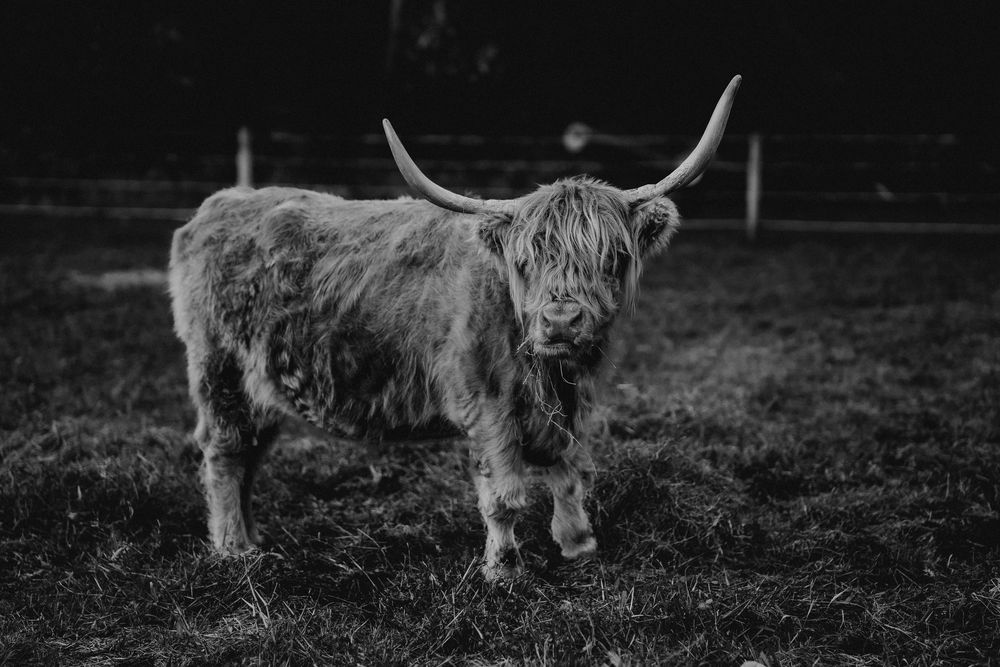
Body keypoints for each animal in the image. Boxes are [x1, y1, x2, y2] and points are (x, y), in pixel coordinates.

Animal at [168, 76, 741, 580]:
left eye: (613, 256)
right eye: (525, 260)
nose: (560, 320)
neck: (551, 372)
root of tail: (221, 204)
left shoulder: (574, 405)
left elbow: (570, 474)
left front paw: (579, 546)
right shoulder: (487, 405)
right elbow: (504, 495)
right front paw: (504, 570)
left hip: (263, 384)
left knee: (251, 452)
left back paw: (253, 538)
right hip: (220, 372)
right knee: (224, 453)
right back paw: (233, 549)